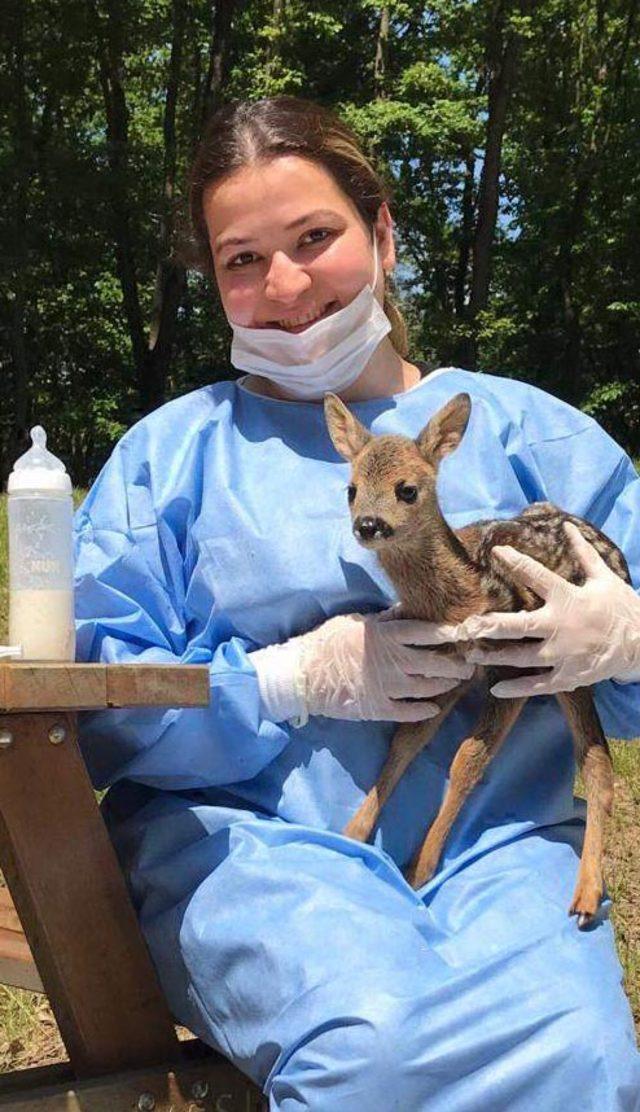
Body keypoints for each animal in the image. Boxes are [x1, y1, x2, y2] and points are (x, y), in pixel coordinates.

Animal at [326, 386, 626, 925]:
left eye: (407, 489)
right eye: (351, 488)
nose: (368, 525)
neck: (464, 592)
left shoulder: (515, 663)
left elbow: (468, 758)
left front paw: (420, 869)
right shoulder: (445, 664)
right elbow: (407, 740)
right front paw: (354, 834)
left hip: (571, 669)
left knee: (596, 760)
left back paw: (587, 895)